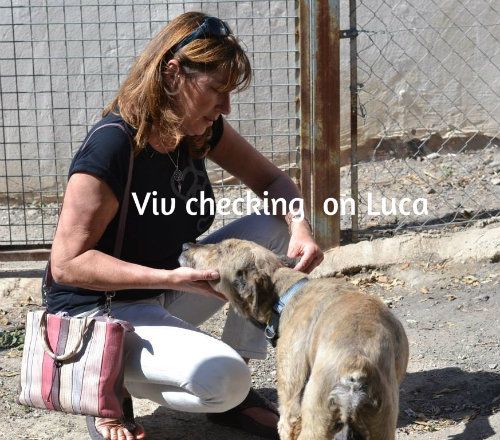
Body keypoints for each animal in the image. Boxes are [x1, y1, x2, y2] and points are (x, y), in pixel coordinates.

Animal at [179, 239, 409, 440]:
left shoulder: (290, 403)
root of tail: (355, 365)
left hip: (313, 419)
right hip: (380, 424)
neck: (285, 297)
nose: (185, 245)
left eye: (219, 251)